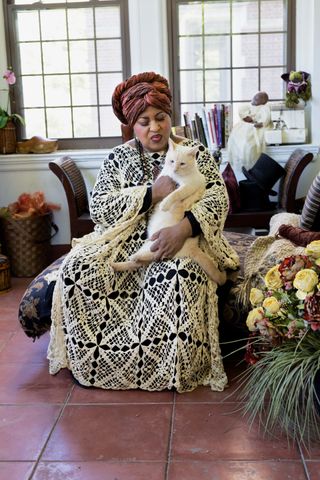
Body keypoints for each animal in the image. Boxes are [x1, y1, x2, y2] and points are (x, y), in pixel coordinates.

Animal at [111, 137, 226, 284]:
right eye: (171, 161)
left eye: (182, 164)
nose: (175, 169)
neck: (175, 177)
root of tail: (193, 248)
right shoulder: (163, 177)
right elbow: (151, 186)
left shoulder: (189, 186)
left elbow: (176, 194)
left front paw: (165, 204)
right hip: (149, 243)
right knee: (138, 263)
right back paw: (117, 265)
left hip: (156, 244)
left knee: (146, 257)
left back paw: (133, 257)